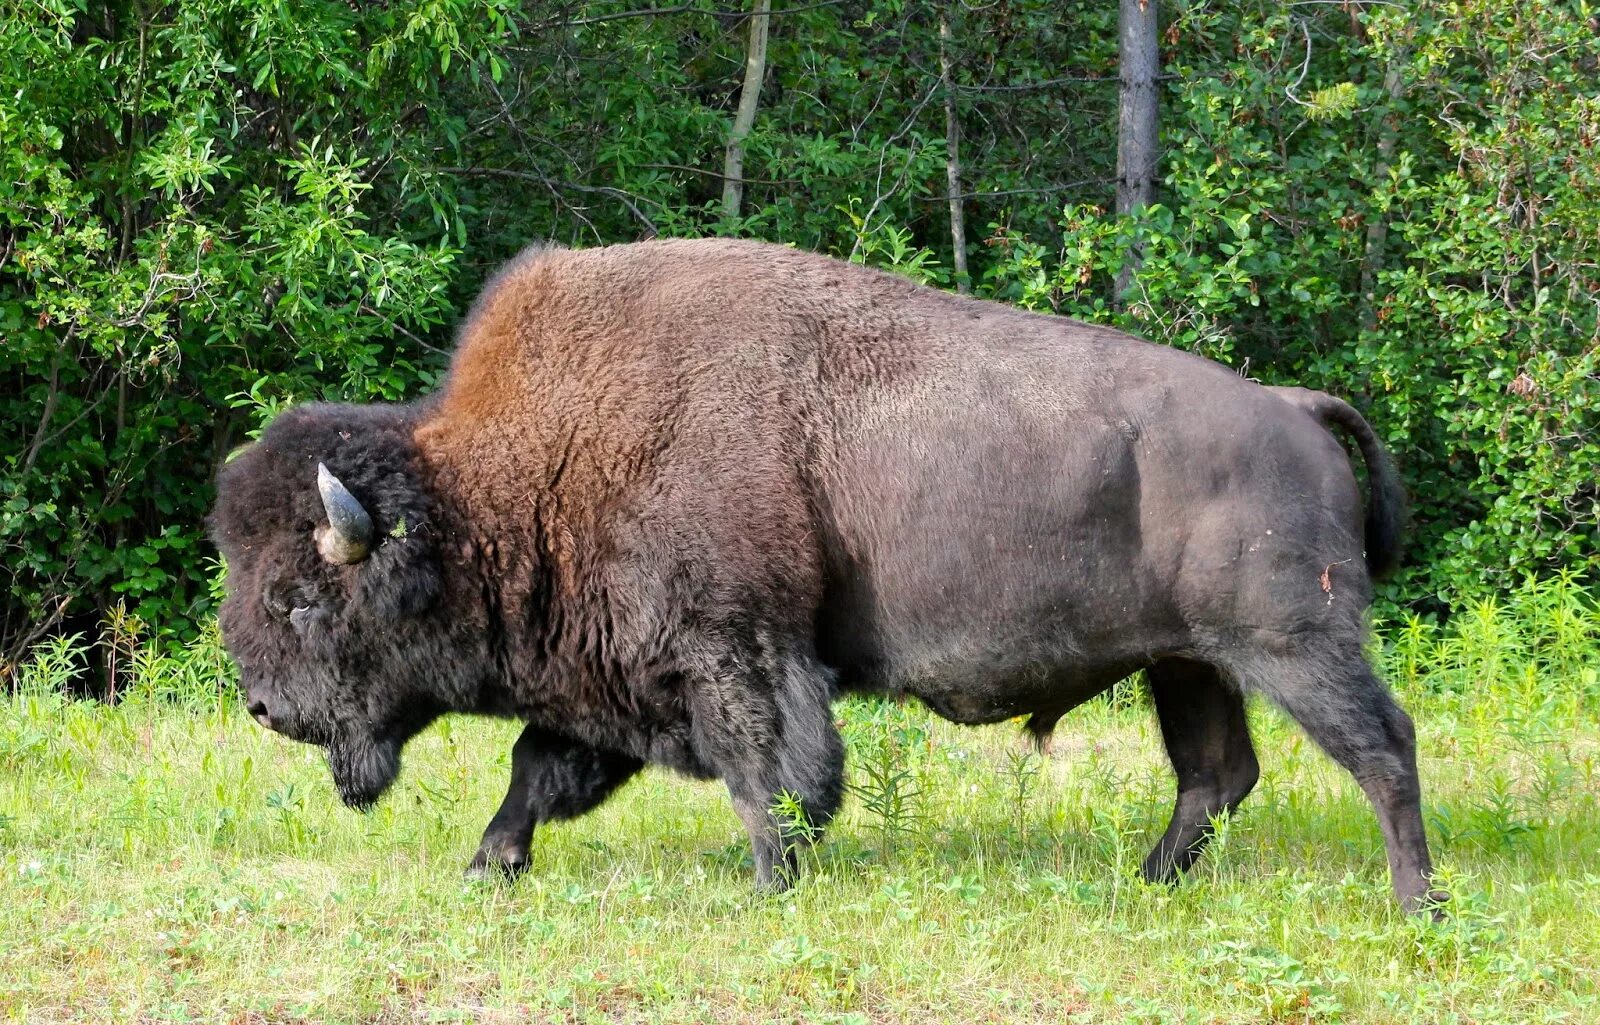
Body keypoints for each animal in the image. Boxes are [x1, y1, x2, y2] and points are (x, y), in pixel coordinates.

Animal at [206, 238, 1446, 908]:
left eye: (297, 595)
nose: (263, 707)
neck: (515, 472)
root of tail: (1292, 405)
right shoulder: (607, 675)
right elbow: (537, 772)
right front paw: (486, 866)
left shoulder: (734, 649)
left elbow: (774, 774)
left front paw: (767, 882)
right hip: (1187, 660)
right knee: (1215, 773)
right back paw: (1146, 882)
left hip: (1293, 642)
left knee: (1380, 749)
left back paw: (1416, 903)